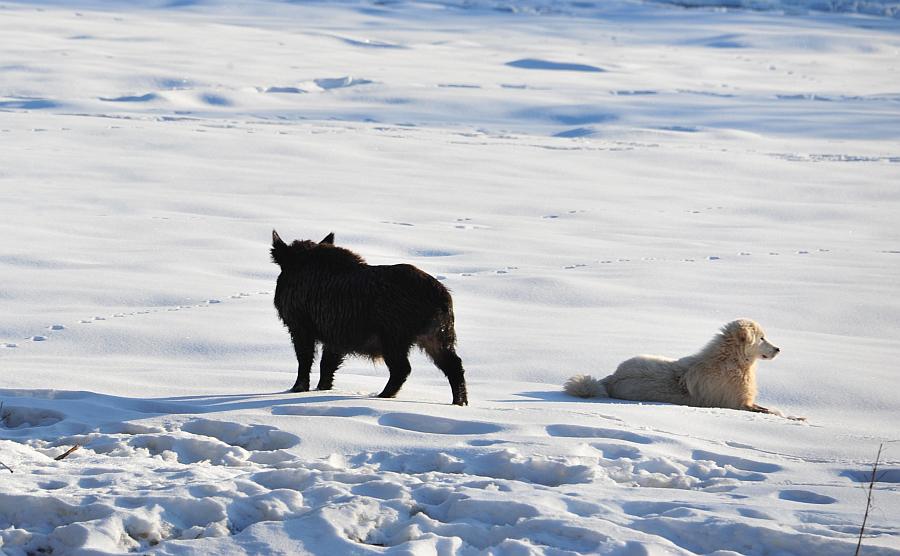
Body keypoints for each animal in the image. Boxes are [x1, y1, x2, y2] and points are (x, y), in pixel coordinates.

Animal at [272, 232, 472, 406]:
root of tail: (442, 296)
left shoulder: (300, 325)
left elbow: (305, 359)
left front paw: (296, 390)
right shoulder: (335, 338)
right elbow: (327, 363)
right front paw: (323, 389)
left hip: (395, 338)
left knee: (403, 369)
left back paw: (381, 396)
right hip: (437, 336)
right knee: (454, 365)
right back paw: (459, 404)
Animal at [568, 320, 800, 414]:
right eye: (761, 338)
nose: (778, 349)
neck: (731, 362)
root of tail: (611, 377)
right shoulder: (737, 404)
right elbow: (770, 413)